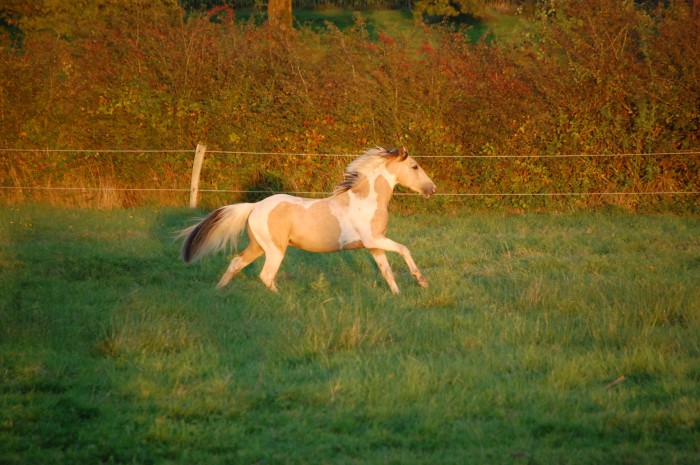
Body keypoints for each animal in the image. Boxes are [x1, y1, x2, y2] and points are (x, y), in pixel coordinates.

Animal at [183, 147, 440, 294]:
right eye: (415, 166)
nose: (432, 189)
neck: (366, 199)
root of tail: (254, 207)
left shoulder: (374, 245)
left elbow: (387, 271)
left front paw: (398, 295)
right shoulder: (374, 240)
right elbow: (404, 249)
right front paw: (422, 281)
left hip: (258, 246)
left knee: (236, 263)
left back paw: (218, 291)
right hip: (275, 249)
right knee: (266, 275)